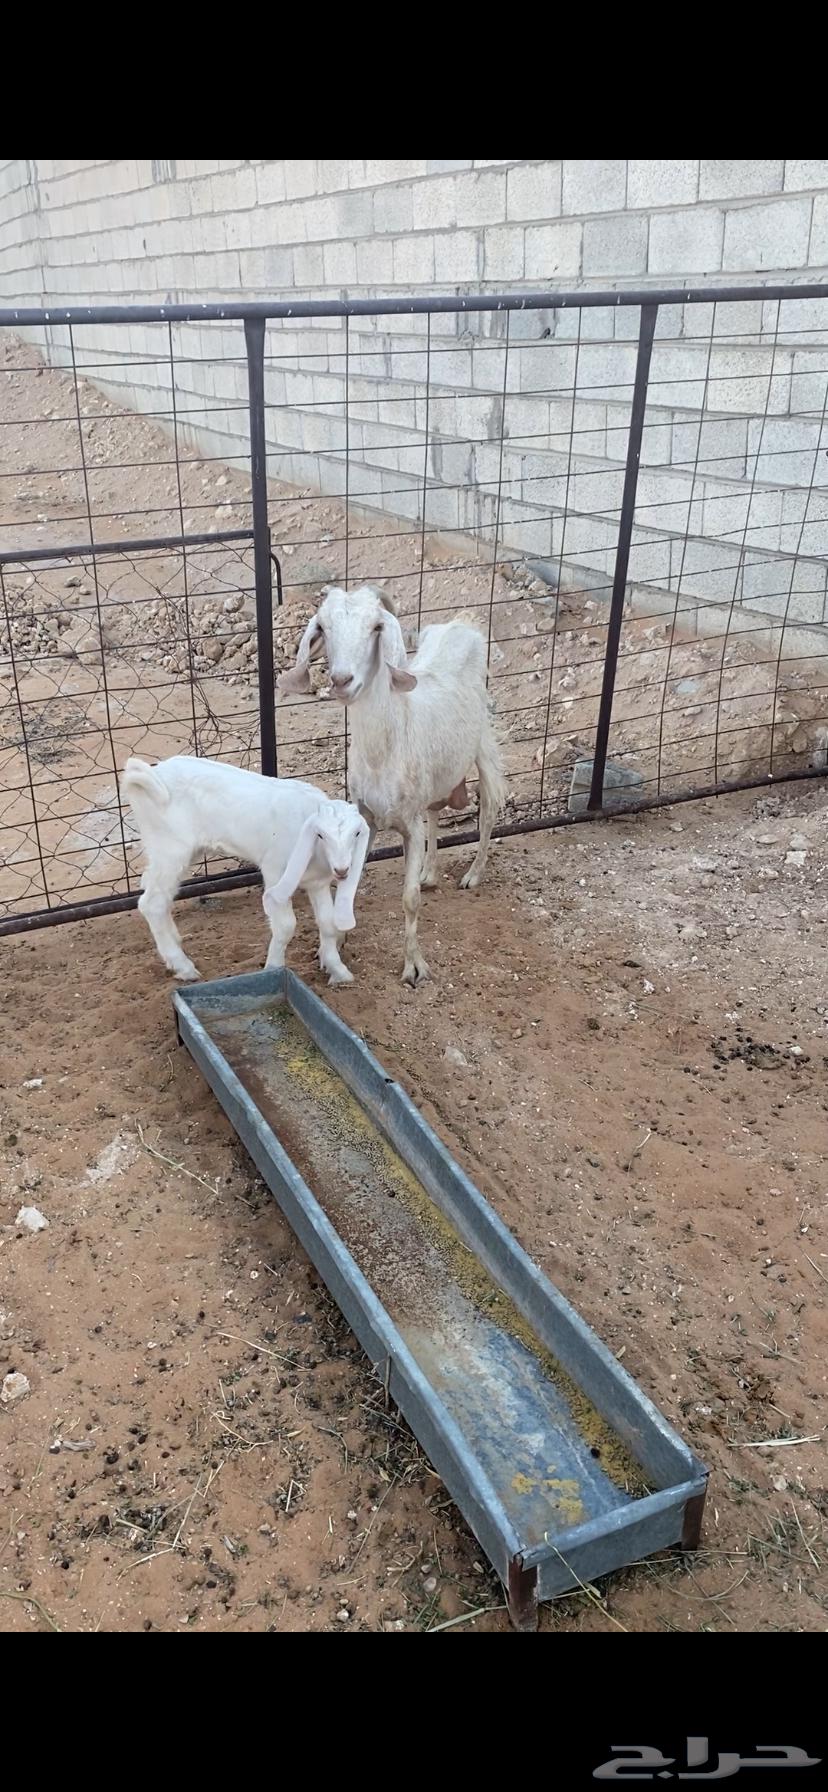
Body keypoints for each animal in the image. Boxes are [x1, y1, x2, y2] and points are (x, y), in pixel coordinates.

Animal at [120, 755, 369, 987]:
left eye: (357, 833)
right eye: (321, 834)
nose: (342, 870)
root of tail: (154, 775)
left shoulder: (317, 882)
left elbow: (328, 923)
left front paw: (338, 970)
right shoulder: (274, 870)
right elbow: (286, 926)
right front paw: (274, 969)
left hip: (180, 853)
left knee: (161, 895)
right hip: (169, 848)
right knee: (152, 903)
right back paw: (183, 966)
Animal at [278, 586, 505, 986]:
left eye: (376, 627)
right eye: (324, 626)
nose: (341, 680)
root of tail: (462, 623)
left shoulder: (409, 825)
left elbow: (410, 899)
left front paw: (414, 966)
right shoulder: (364, 818)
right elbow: (347, 886)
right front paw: (336, 946)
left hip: (482, 743)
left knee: (490, 807)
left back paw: (473, 875)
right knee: (435, 811)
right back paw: (430, 873)